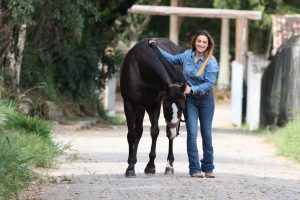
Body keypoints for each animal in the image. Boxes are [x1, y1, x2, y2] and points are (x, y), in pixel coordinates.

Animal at [119, 38, 185, 177]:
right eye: (167, 107)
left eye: (182, 107)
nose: (172, 132)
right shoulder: (130, 105)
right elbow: (132, 134)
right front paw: (130, 167)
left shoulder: (154, 105)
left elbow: (154, 131)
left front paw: (150, 166)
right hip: (140, 108)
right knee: (138, 132)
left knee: (167, 136)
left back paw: (169, 165)